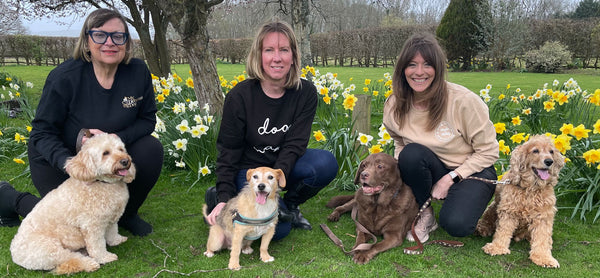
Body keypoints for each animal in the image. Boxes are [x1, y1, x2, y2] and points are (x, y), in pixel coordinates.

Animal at [10, 134, 135, 274]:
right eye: (105, 153)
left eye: (121, 149)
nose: (125, 161)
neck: (103, 183)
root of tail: (15, 254)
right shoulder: (92, 226)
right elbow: (97, 245)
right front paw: (105, 257)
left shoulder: (111, 218)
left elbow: (112, 231)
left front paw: (117, 240)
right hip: (50, 249)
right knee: (71, 258)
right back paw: (90, 264)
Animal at [476, 135, 564, 268]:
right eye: (535, 151)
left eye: (551, 151)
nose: (549, 161)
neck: (531, 188)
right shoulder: (509, 210)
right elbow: (503, 230)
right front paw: (497, 247)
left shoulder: (544, 215)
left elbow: (542, 237)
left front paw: (544, 258)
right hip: (493, 207)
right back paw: (482, 228)